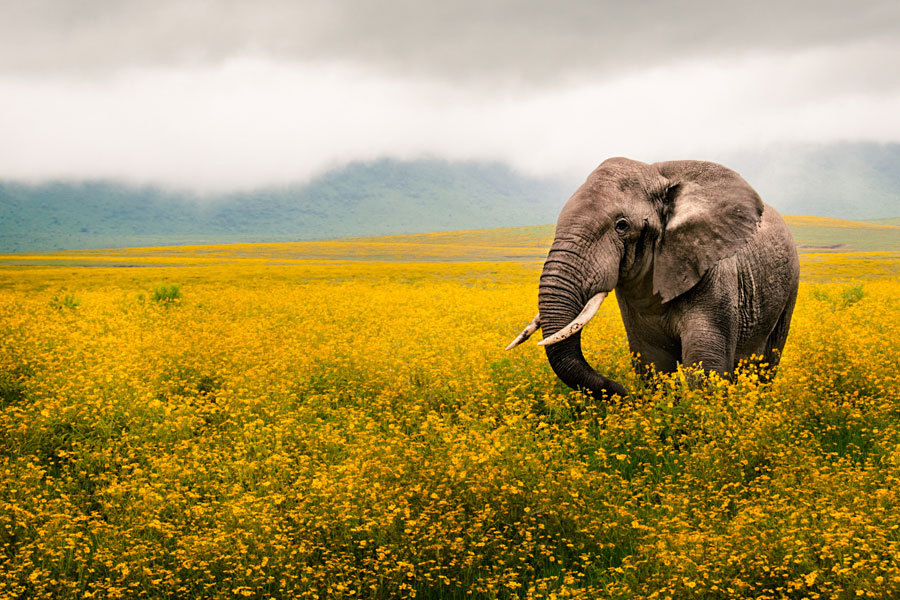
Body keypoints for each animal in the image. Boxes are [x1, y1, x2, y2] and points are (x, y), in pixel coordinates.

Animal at [507, 157, 800, 399]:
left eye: (622, 226)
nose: (623, 392)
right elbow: (653, 364)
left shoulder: (715, 274)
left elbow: (705, 369)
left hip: (790, 287)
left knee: (766, 364)